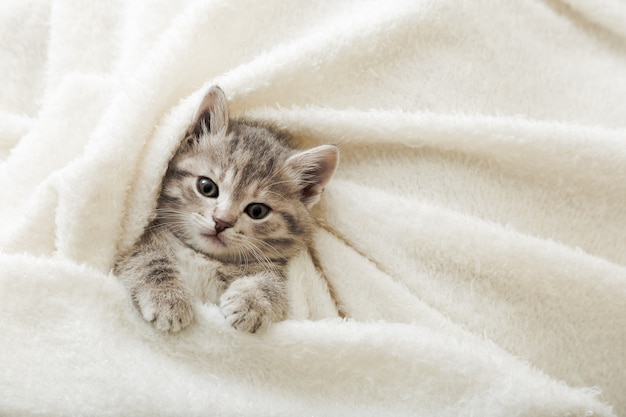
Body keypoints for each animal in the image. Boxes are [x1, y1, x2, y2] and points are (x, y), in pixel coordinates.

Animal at [112, 86, 336, 334]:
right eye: (207, 187)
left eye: (257, 211)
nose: (221, 222)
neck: (203, 256)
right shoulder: (135, 245)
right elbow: (146, 258)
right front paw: (167, 298)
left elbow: (273, 283)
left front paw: (252, 302)